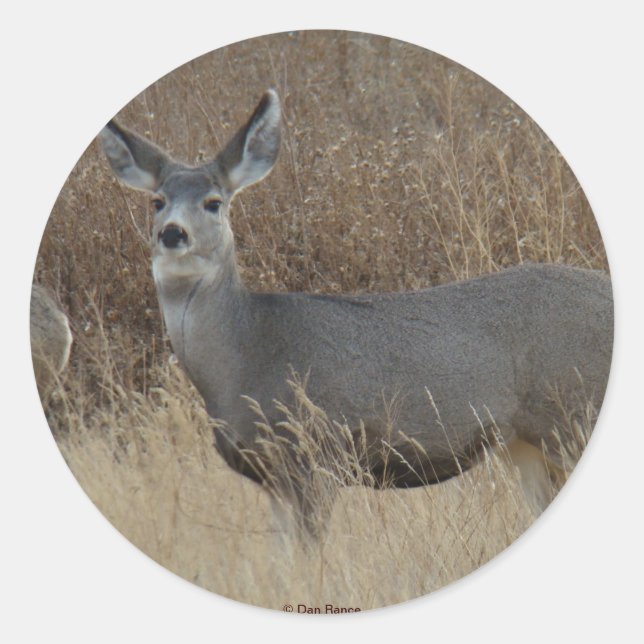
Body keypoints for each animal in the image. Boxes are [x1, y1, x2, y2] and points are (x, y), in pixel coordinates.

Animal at [99, 89, 613, 538]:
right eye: (157, 201)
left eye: (213, 202)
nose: (171, 233)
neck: (245, 357)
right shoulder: (272, 476)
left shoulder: (317, 454)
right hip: (526, 445)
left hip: (573, 414)